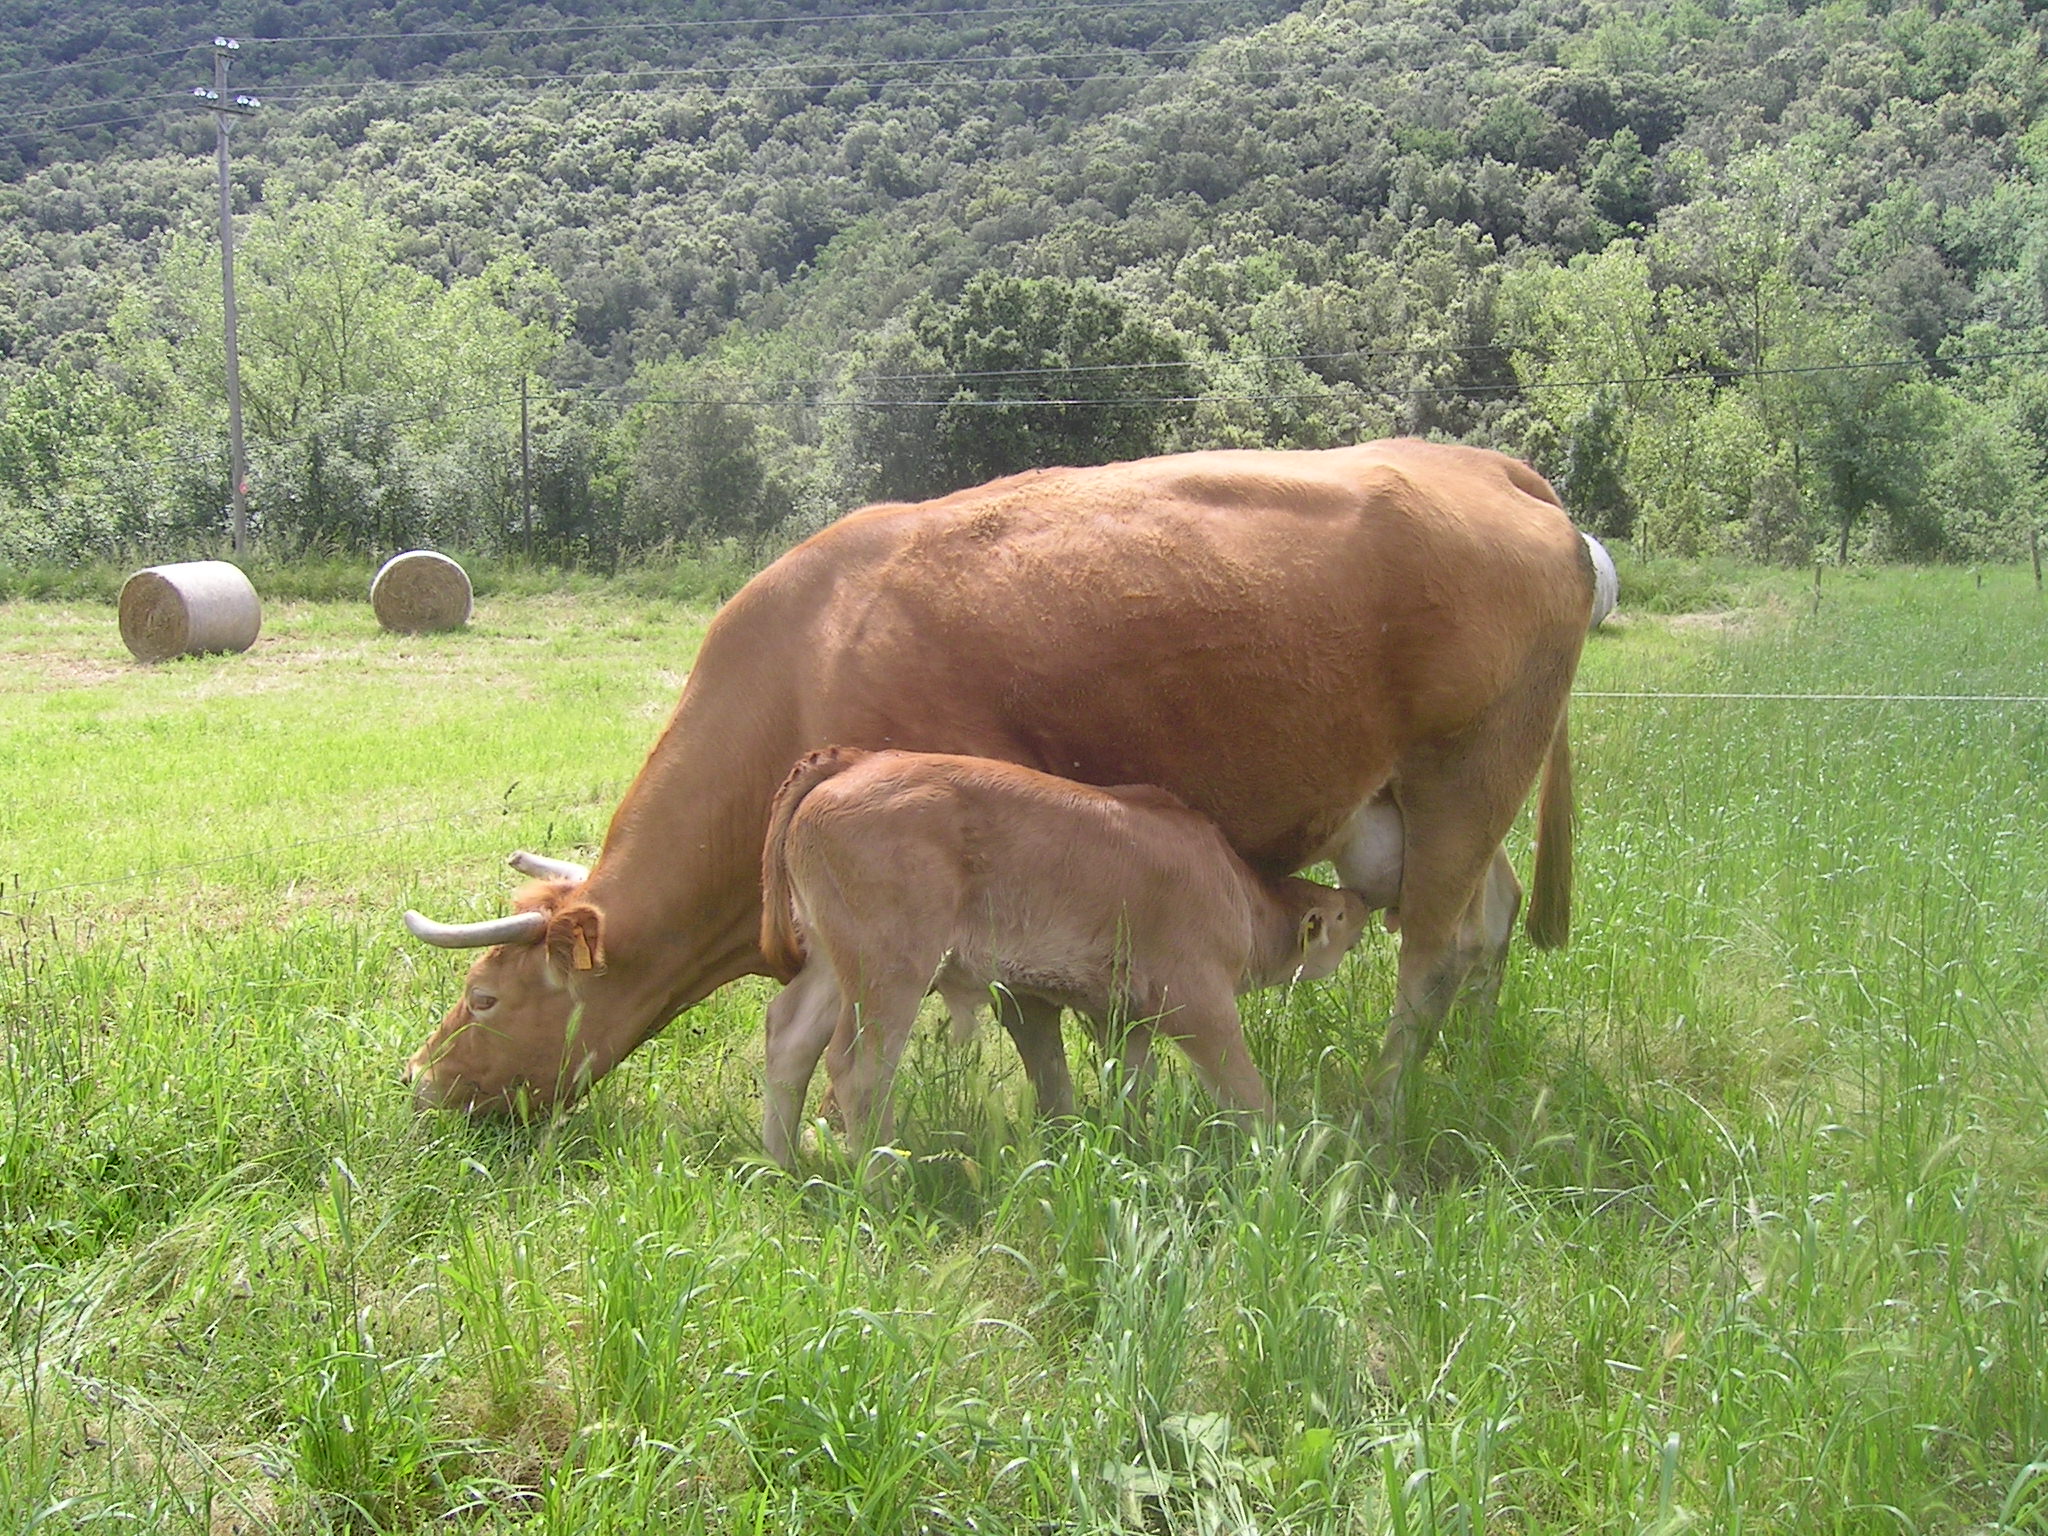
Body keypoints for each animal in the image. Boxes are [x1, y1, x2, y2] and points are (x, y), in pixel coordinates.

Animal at [757, 745, 1376, 1163]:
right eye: (1339, 916)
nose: (1363, 900)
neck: (1239, 894)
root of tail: (855, 761)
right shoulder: (1199, 1001)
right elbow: (1244, 1088)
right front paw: (1282, 1154)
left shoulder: (1122, 1017)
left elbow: (1129, 1088)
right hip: (891, 969)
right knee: (859, 1068)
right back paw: (883, 1182)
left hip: (833, 963)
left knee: (790, 1038)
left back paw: (783, 1164)